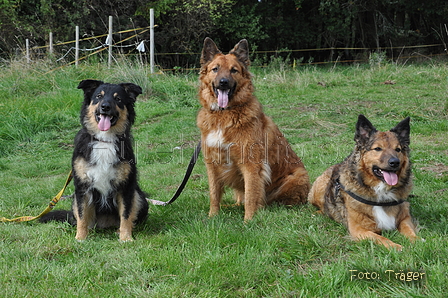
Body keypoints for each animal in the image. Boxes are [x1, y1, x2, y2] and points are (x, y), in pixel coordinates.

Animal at [40, 79, 149, 242]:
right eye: (99, 96)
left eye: (118, 99)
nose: (105, 107)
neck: (104, 140)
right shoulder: (82, 187)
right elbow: (82, 216)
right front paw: (80, 238)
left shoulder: (126, 187)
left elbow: (126, 215)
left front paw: (125, 238)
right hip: (74, 200)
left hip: (140, 197)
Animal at [310, 115, 418, 250]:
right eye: (377, 149)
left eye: (398, 149)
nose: (395, 162)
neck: (381, 191)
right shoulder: (359, 230)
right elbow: (380, 238)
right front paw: (396, 246)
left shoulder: (405, 217)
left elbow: (409, 229)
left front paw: (418, 241)